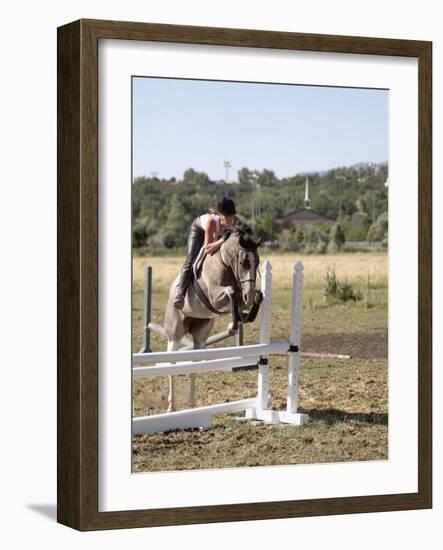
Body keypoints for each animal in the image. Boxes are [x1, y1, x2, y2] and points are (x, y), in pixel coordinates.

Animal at [166, 226, 266, 412]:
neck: (225, 264)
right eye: (242, 263)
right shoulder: (214, 297)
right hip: (174, 335)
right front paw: (233, 325)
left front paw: (245, 317)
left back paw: (192, 405)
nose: (248, 295)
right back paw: (171, 406)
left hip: (200, 336)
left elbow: (257, 296)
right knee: (171, 366)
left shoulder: (242, 295)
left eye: (257, 262)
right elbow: (231, 292)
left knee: (194, 366)